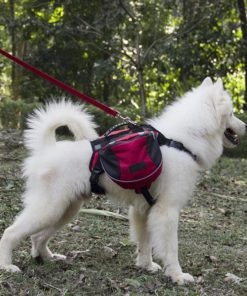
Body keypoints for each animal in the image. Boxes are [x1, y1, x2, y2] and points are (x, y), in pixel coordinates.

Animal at [0, 77, 246, 284]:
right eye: (233, 113)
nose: (246, 126)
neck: (181, 140)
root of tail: (47, 148)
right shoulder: (167, 211)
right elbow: (170, 249)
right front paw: (177, 276)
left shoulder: (143, 210)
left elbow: (144, 243)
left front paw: (147, 266)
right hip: (50, 209)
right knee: (11, 233)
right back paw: (7, 266)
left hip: (66, 209)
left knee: (38, 237)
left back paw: (48, 258)